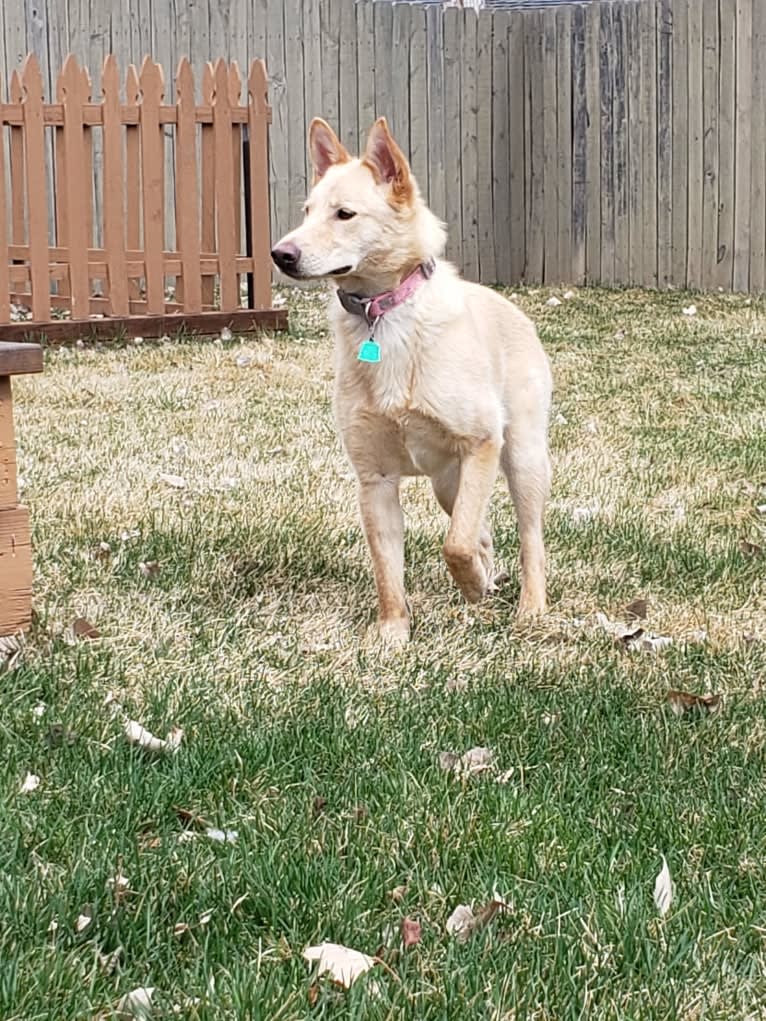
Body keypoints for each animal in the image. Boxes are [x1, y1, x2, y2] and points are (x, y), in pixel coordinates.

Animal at [273, 117, 555, 645]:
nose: (280, 254)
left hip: (522, 460)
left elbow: (456, 545)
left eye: (344, 214)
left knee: (527, 536)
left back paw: (530, 606)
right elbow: (389, 569)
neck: (383, 318)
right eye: (306, 211)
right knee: (481, 526)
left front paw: (470, 584)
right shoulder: (375, 480)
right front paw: (393, 635)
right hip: (449, 484)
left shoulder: (482, 443)